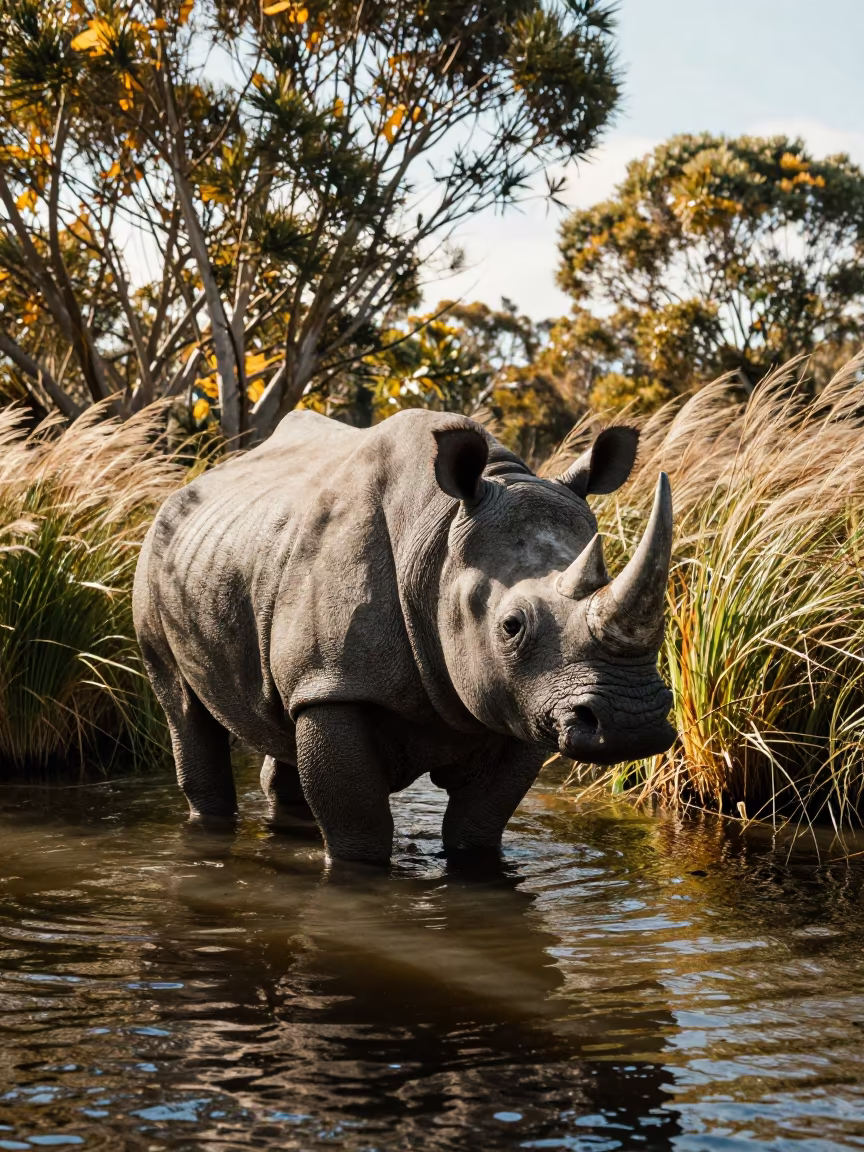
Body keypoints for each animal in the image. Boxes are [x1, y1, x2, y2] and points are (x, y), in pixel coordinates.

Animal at [133, 410, 674, 863]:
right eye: (512, 626)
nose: (633, 722)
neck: (440, 544)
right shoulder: (335, 684)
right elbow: (361, 830)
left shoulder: (523, 700)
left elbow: (478, 825)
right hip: (157, 558)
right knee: (183, 707)